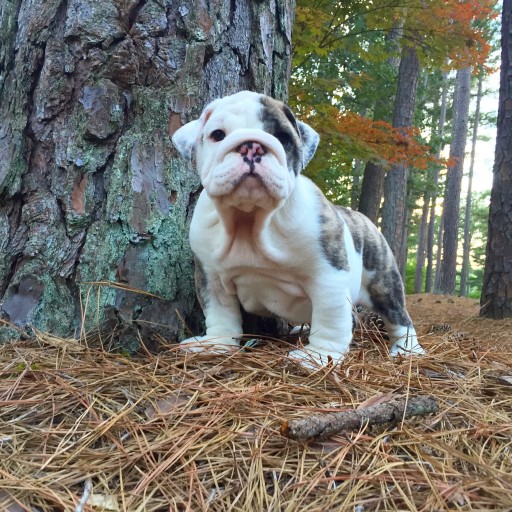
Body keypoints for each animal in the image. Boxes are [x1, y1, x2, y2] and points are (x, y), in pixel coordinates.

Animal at [172, 90, 424, 366]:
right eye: (218, 134)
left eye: (283, 138)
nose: (251, 146)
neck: (250, 219)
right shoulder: (211, 277)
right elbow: (220, 313)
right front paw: (217, 344)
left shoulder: (329, 277)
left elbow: (330, 318)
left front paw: (319, 355)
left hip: (383, 282)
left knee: (398, 317)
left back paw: (408, 350)